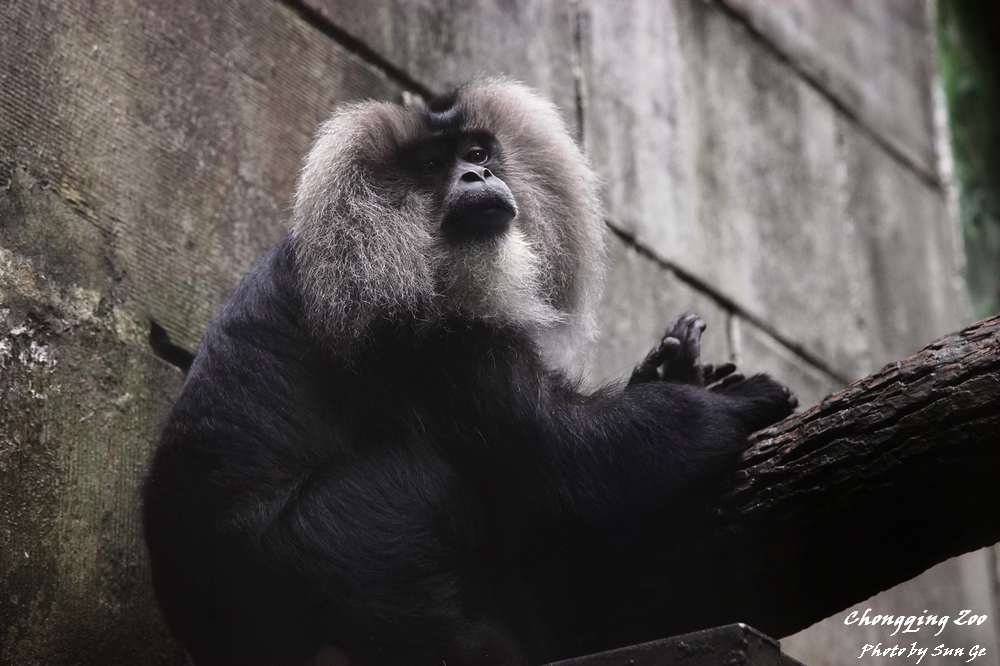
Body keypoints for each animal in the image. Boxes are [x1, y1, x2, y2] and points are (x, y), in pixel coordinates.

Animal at [142, 78, 796, 666]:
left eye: (477, 154)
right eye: (434, 165)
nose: (476, 178)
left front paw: (675, 365)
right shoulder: (423, 334)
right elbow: (573, 455)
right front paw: (730, 403)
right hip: (318, 547)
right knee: (428, 479)